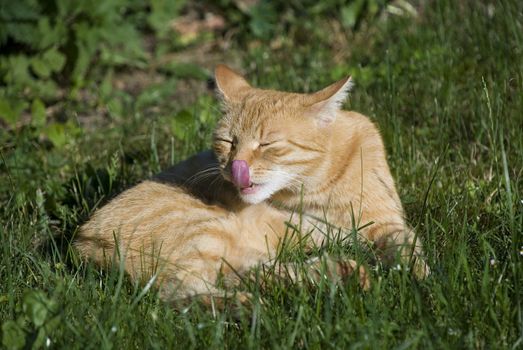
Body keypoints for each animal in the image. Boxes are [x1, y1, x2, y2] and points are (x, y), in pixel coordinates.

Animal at [77, 65, 430, 306]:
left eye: (268, 144)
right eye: (227, 142)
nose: (236, 168)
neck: (321, 184)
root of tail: (80, 242)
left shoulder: (386, 222)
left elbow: (404, 245)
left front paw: (418, 276)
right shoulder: (306, 222)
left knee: (248, 274)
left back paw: (338, 274)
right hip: (207, 230)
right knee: (180, 291)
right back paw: (249, 306)